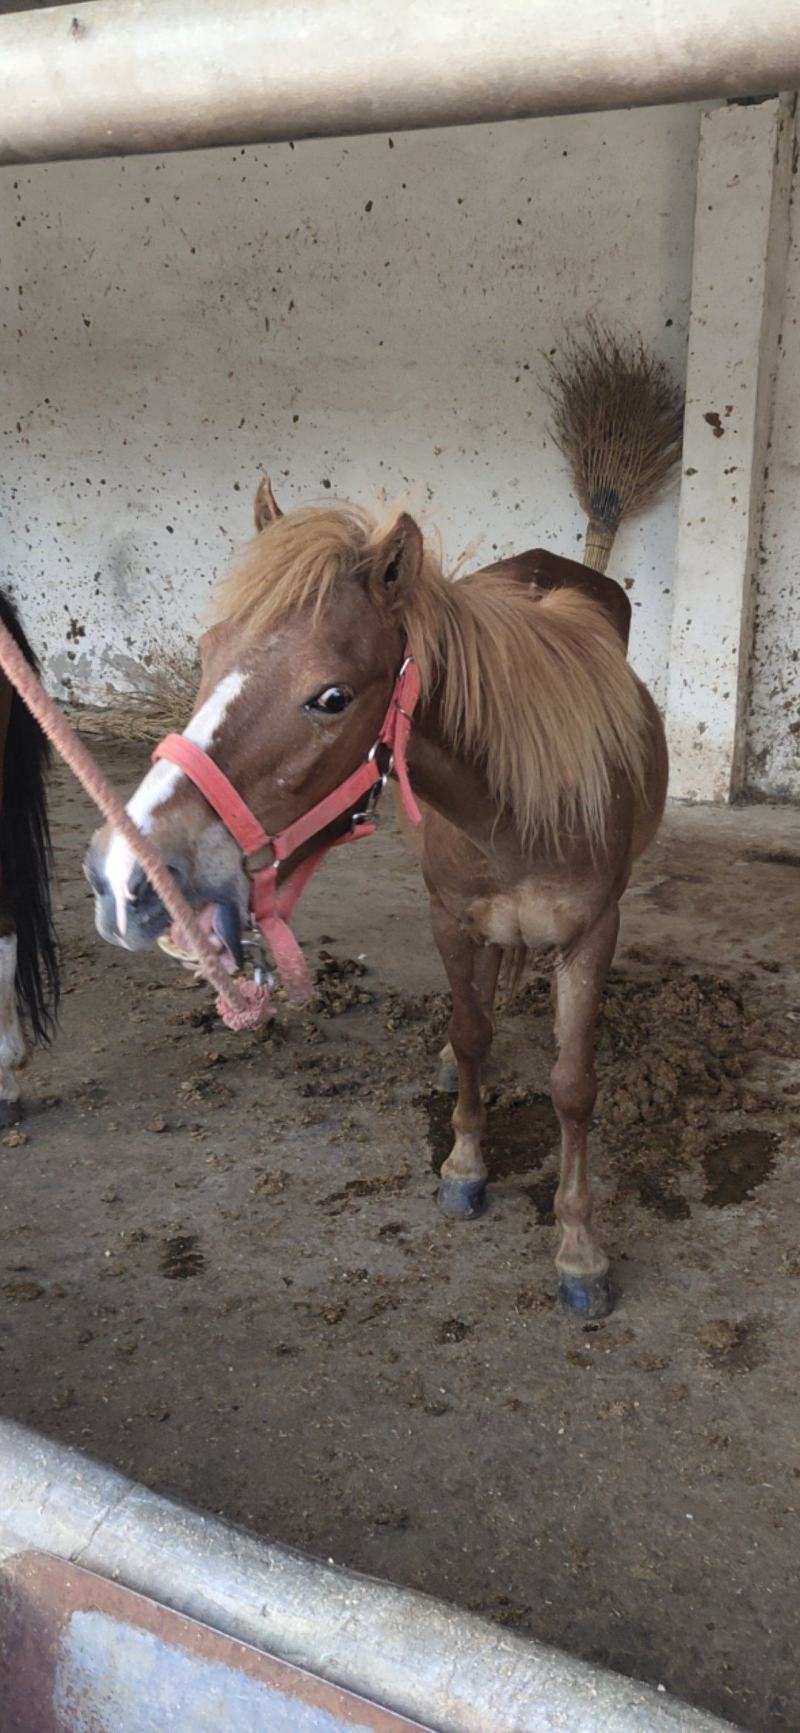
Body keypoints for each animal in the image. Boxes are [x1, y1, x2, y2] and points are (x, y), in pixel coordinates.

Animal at [86, 481, 667, 1316]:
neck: (518, 812)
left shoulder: (593, 934)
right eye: (206, 650)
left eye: (331, 696)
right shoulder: (450, 919)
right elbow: (470, 1033)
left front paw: (580, 1249)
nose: (129, 869)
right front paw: (464, 1164)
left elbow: (573, 1085)